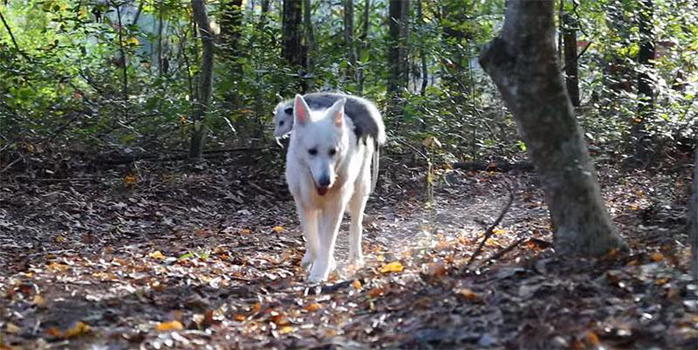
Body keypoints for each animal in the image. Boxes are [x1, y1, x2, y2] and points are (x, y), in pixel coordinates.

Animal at [284, 94, 386, 284]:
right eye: (312, 151)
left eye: (333, 151)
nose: (326, 181)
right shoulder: (304, 205)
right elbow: (312, 237)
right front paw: (317, 261)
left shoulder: (334, 207)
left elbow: (327, 241)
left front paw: (320, 271)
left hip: (359, 191)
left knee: (356, 226)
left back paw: (356, 257)